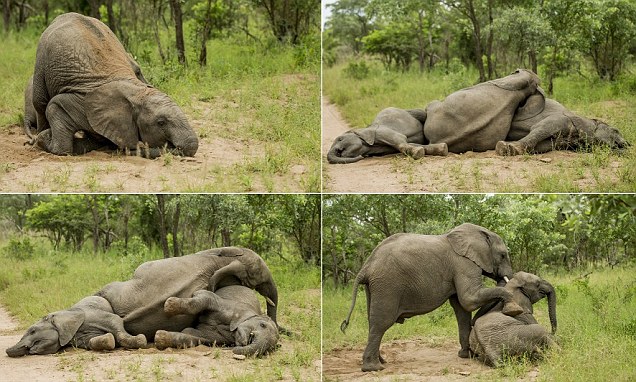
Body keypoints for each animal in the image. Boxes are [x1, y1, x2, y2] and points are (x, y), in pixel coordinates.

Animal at [29, 12, 198, 157]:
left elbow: (96, 141)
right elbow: (56, 107)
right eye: (161, 122)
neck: (135, 92)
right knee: (40, 102)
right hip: (41, 59)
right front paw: (44, 138)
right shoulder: (83, 103)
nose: (175, 148)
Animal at [340, 222, 524, 372]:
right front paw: (514, 309)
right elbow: (468, 300)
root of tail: (367, 266)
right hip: (387, 284)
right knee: (381, 323)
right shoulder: (463, 263)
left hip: (374, 287)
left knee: (373, 322)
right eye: (503, 255)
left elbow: (462, 310)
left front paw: (466, 356)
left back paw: (381, 361)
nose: (505, 278)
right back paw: (374, 368)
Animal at [494, 93, 628, 155]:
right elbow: (538, 130)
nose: (627, 144)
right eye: (616, 130)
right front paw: (505, 148)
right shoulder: (560, 119)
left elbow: (543, 146)